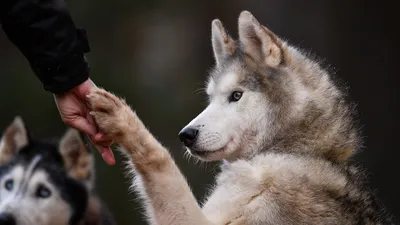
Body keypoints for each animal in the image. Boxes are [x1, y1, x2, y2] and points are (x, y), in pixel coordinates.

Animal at [86, 10, 394, 225]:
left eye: (236, 95)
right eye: (210, 98)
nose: (186, 136)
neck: (296, 153)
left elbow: (160, 159)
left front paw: (123, 120)